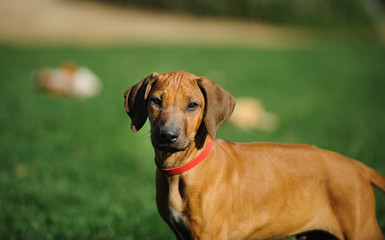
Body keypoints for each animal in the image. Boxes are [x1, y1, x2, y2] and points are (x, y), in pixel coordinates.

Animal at [124, 70, 384, 239]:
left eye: (192, 105)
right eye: (156, 101)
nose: (168, 136)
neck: (181, 169)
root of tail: (356, 165)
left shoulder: (209, 234)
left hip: (362, 230)